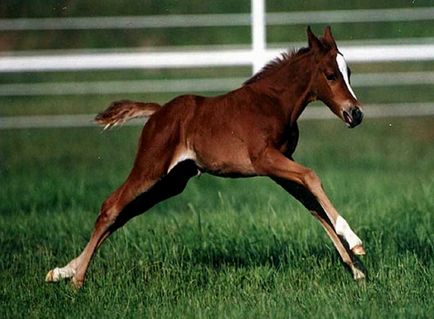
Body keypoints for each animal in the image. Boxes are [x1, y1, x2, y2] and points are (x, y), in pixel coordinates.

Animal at [46, 26, 366, 288]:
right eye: (330, 75)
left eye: (349, 73)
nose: (356, 113)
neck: (274, 103)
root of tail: (158, 111)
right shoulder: (265, 159)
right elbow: (312, 177)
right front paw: (355, 242)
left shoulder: (279, 169)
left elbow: (314, 207)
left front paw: (356, 268)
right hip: (149, 168)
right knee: (111, 207)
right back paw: (76, 280)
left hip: (171, 182)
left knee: (124, 214)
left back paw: (62, 271)